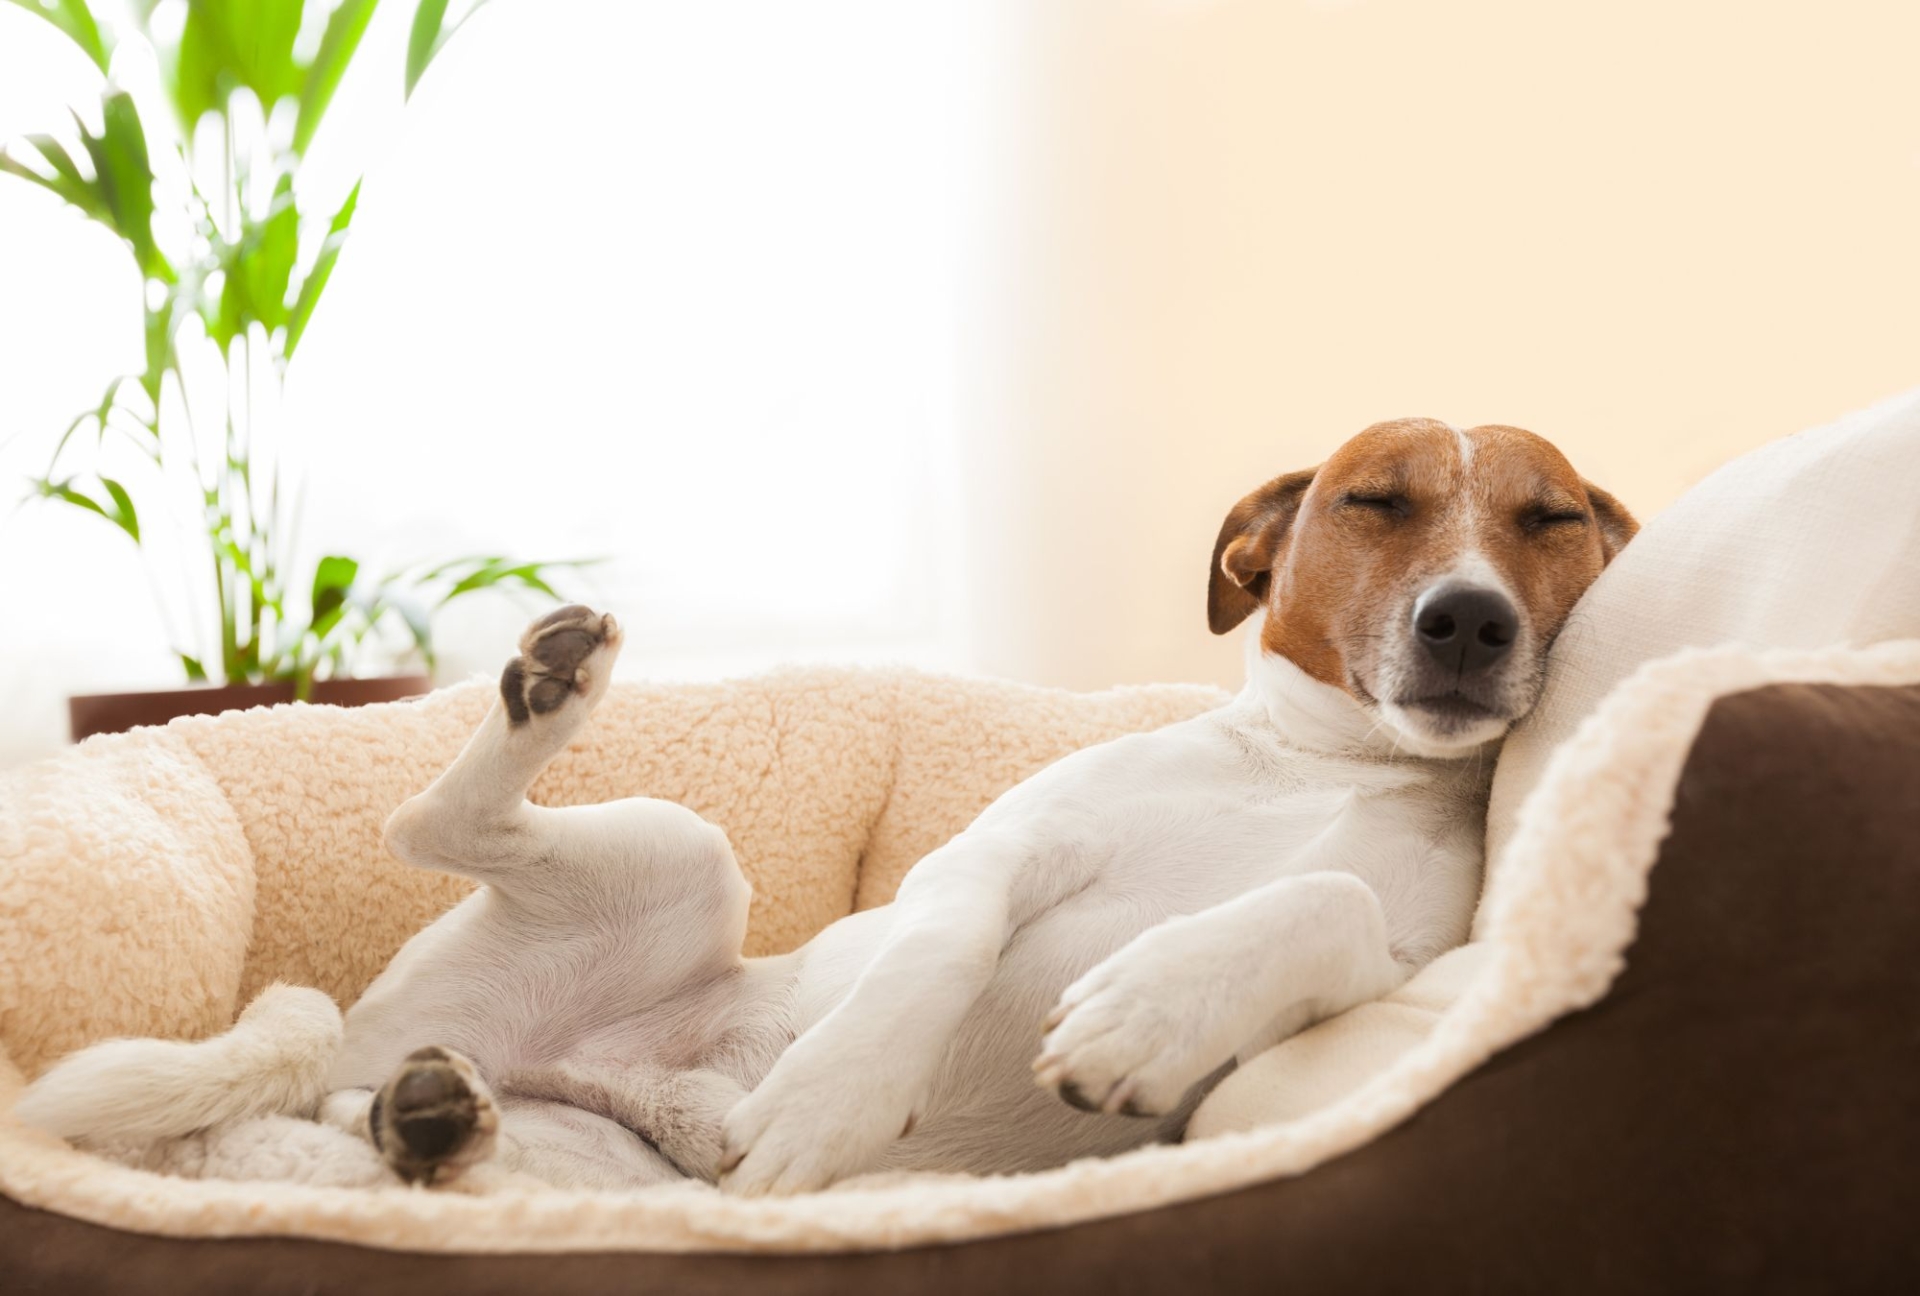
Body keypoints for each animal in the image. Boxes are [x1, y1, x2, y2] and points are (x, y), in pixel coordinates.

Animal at [15, 418, 1635, 1198]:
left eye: (1549, 520)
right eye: (1375, 502)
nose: (1469, 621)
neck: (1324, 767)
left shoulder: (1410, 957)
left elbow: (1327, 896)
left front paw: (1149, 1013)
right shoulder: (991, 852)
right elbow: (938, 947)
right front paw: (837, 1093)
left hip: (591, 1154)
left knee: (428, 1125)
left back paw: (432, 1129)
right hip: (687, 854)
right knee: (430, 829)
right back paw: (550, 691)